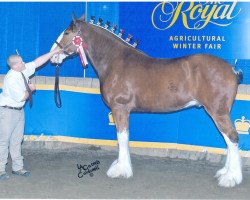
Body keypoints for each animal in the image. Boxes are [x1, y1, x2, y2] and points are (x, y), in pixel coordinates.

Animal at [49, 14, 243, 188]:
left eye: (67, 33)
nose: (52, 56)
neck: (115, 61)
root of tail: (232, 69)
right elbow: (123, 138)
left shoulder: (120, 108)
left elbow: (122, 137)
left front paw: (121, 170)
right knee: (228, 139)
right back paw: (225, 172)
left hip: (218, 112)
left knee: (232, 137)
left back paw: (231, 178)